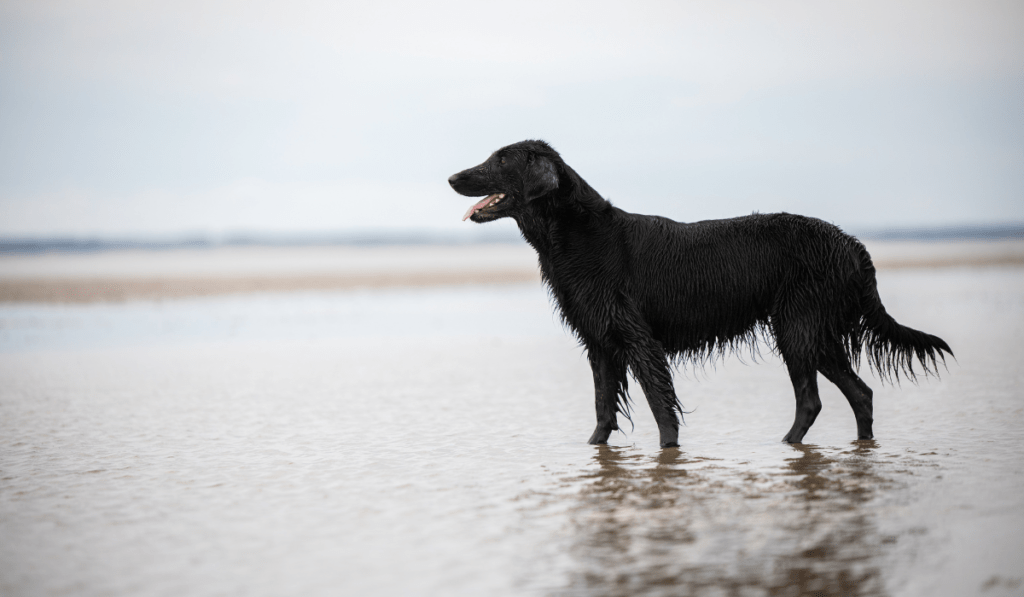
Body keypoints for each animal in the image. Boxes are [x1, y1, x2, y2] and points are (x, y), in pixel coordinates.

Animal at [448, 140, 950, 448]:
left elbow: (659, 405)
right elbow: (603, 407)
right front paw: (593, 450)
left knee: (813, 399)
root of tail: (852, 244)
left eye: (500, 160)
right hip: (813, 332)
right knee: (860, 393)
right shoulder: (600, 341)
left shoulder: (638, 338)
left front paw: (668, 453)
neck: (574, 235)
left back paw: (787, 445)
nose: (452, 177)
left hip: (798, 327)